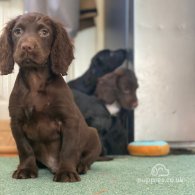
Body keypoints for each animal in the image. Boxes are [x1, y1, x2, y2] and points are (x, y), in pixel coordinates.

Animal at [0, 12, 101, 183]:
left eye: (44, 32)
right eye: (17, 31)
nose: (26, 47)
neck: (35, 79)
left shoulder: (68, 120)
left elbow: (68, 149)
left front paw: (66, 172)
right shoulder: (16, 122)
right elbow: (25, 149)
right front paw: (26, 169)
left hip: (94, 134)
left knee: (87, 159)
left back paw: (80, 167)